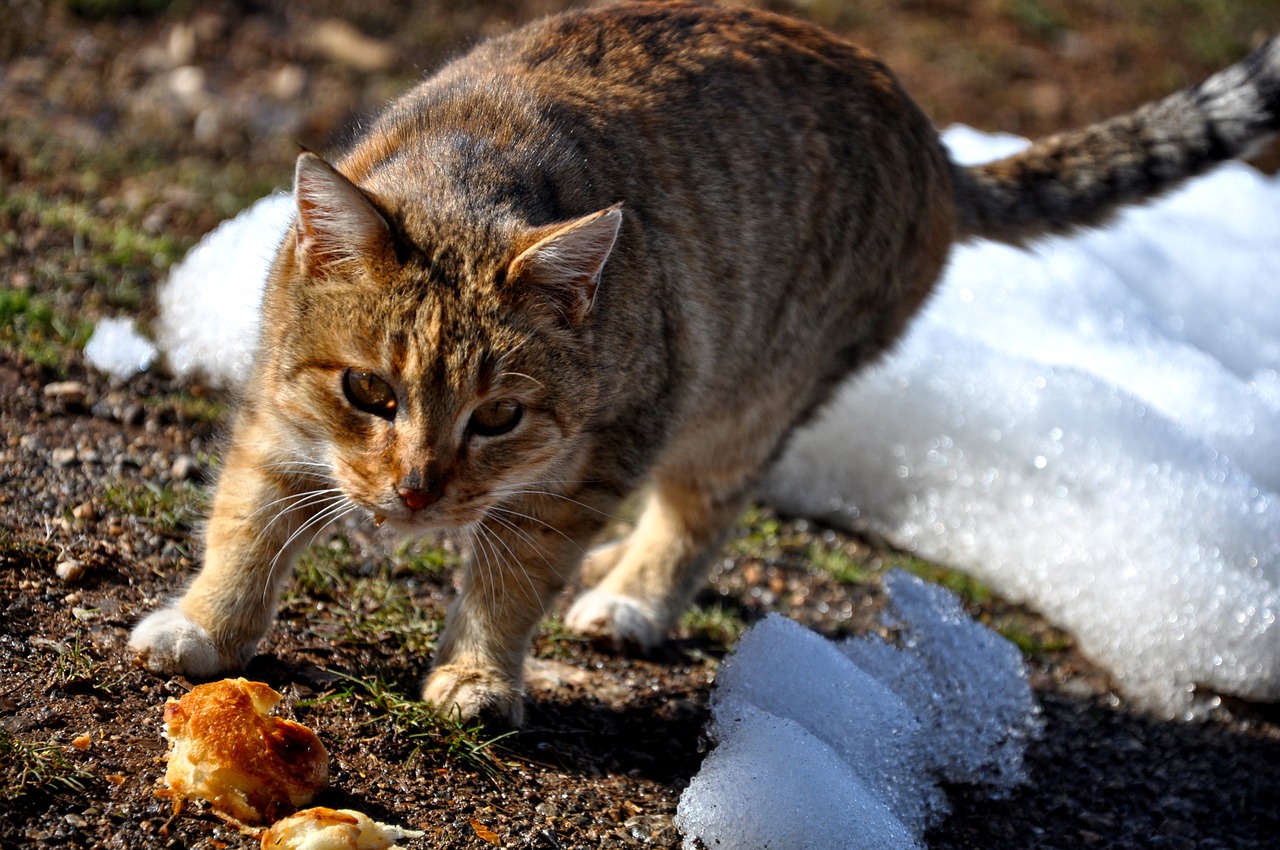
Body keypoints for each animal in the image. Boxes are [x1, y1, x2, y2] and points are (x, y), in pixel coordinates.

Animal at [132, 3, 1280, 727]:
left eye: (498, 417)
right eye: (368, 390)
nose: (416, 494)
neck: (468, 180)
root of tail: (928, 134)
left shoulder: (603, 444)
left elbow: (510, 575)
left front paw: (475, 673)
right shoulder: (277, 414)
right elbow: (244, 520)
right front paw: (206, 626)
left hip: (747, 396)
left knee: (699, 511)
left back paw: (632, 595)